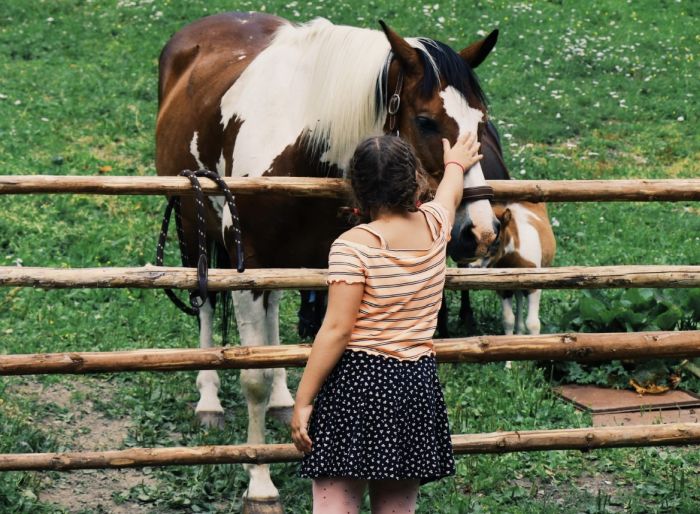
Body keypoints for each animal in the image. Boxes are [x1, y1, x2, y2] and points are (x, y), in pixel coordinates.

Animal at [157, 12, 500, 508]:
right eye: (425, 121)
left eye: (482, 121)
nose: (480, 231)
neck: (302, 144)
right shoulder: (247, 265)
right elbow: (253, 378)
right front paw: (260, 482)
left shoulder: (328, 268)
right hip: (190, 221)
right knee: (204, 306)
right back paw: (209, 401)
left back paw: (283, 399)